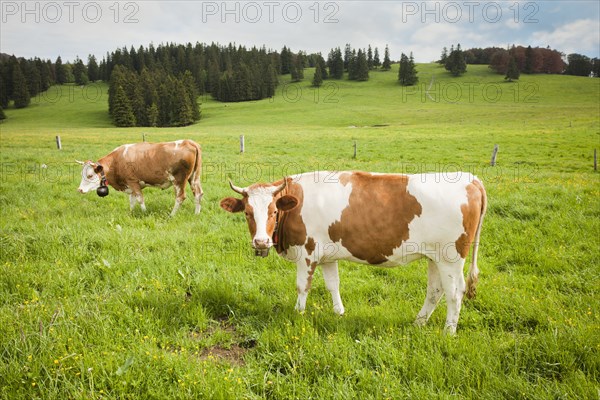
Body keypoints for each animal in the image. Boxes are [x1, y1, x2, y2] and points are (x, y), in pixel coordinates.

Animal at [220, 170, 488, 332]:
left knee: (455, 293)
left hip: (451, 257)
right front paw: (339, 313)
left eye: (273, 211)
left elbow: (302, 286)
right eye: (247, 213)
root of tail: (471, 178)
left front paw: (298, 313)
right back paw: (419, 323)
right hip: (434, 257)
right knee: (435, 291)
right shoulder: (326, 254)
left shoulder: (307, 252)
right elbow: (333, 284)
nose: (261, 242)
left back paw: (448, 332)